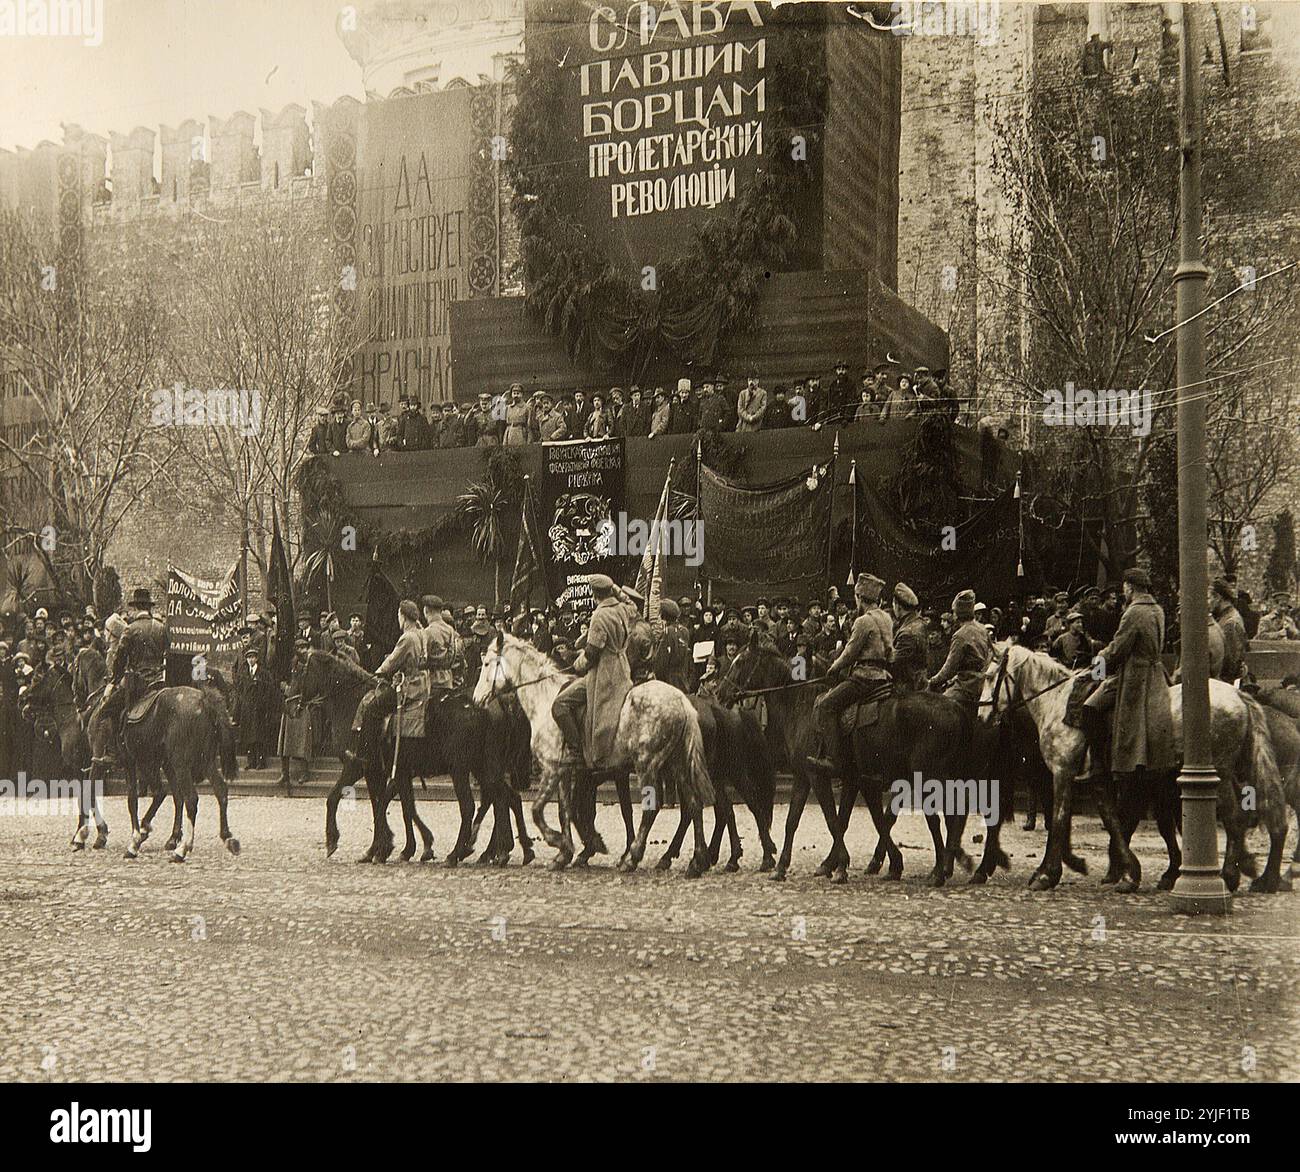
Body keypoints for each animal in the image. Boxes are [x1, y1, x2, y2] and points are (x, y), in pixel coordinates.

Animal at [475, 636, 722, 878]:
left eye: (486, 664)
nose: (477, 699)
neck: (544, 698)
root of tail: (682, 700)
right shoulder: (566, 772)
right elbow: (565, 811)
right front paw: (565, 853)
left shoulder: (552, 768)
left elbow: (538, 811)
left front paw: (562, 842)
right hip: (676, 765)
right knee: (693, 805)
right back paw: (696, 861)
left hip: (647, 764)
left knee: (652, 808)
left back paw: (633, 858)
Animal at [977, 647, 1289, 893]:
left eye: (990, 677)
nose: (981, 716)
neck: (1057, 703)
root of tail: (1237, 695)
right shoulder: (1099, 780)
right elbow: (1114, 820)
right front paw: (1129, 872)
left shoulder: (1063, 772)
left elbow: (1060, 819)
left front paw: (1047, 874)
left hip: (1220, 775)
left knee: (1234, 818)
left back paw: (1230, 876)